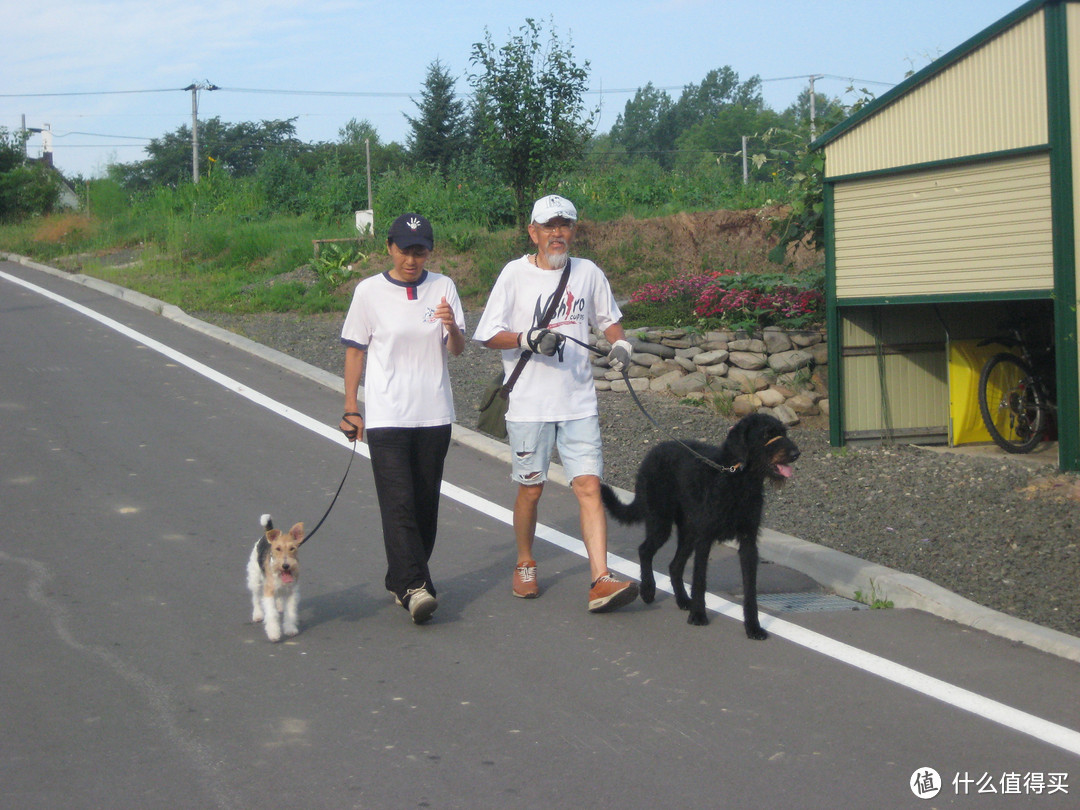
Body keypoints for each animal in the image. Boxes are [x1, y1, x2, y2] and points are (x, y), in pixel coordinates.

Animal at [604, 414, 799, 643]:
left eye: (783, 432)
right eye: (767, 434)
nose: (796, 454)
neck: (737, 479)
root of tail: (654, 451)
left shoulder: (748, 542)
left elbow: (750, 589)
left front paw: (753, 626)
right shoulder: (705, 538)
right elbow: (699, 579)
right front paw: (698, 615)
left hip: (689, 532)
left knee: (675, 565)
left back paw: (682, 600)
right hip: (660, 522)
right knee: (644, 551)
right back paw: (648, 589)